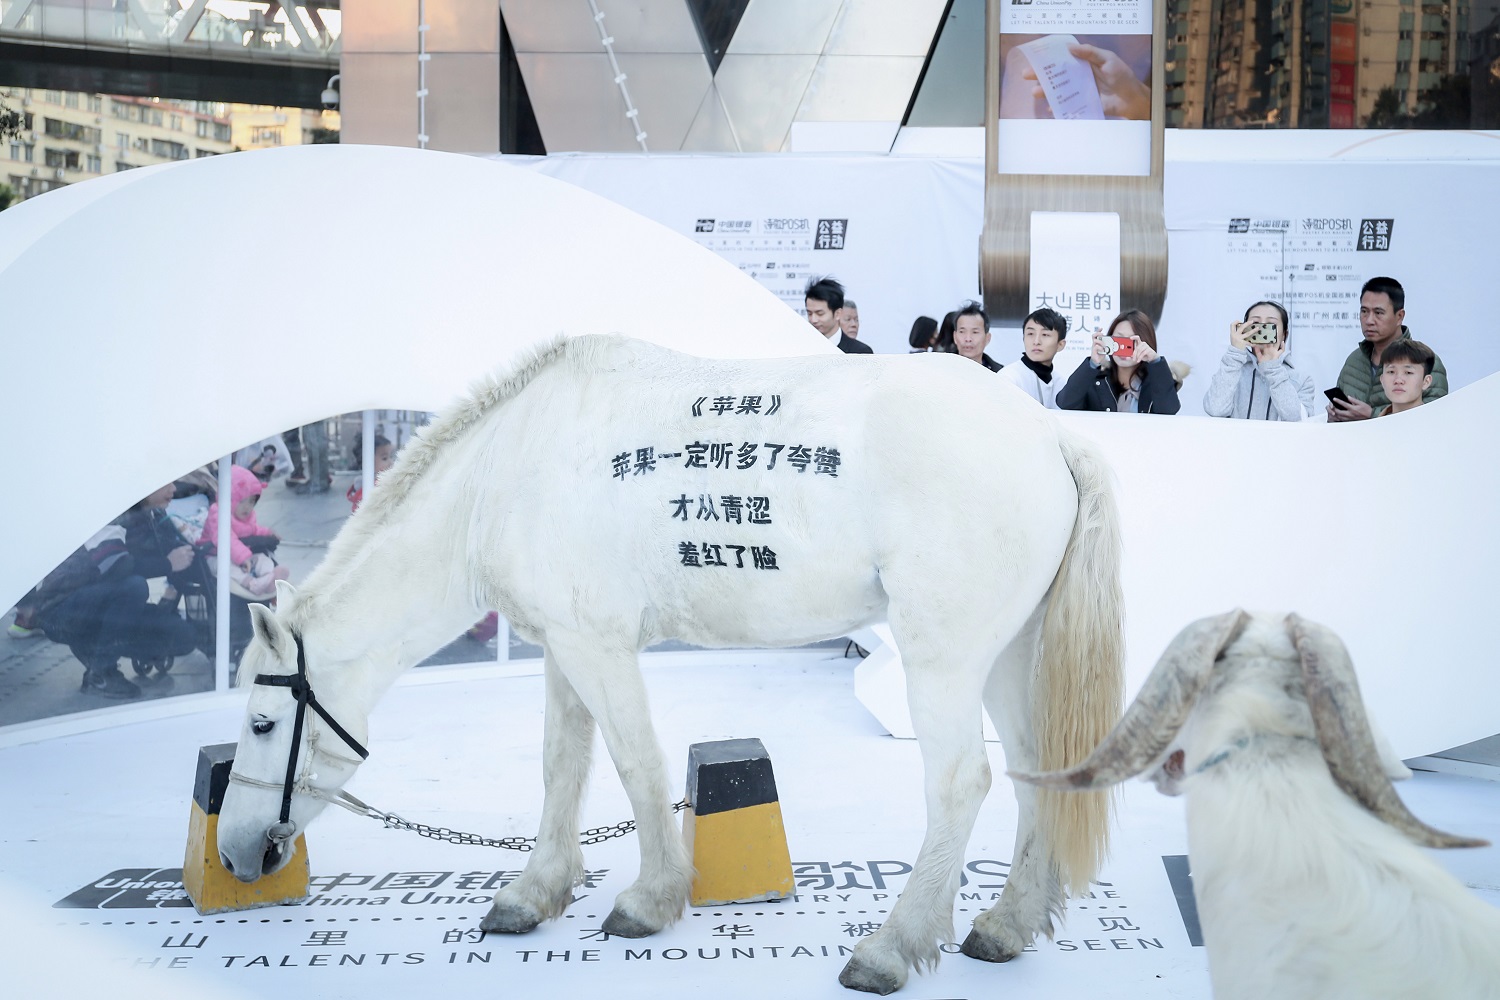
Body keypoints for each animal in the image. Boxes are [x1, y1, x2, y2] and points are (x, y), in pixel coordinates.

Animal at [217, 334, 1122, 995]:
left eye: (262, 722)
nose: (233, 855)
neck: (505, 473)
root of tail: (1048, 433)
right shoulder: (564, 647)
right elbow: (562, 766)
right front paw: (534, 892)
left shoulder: (598, 646)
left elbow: (636, 765)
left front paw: (651, 900)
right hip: (1008, 654)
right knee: (1036, 772)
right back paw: (1005, 924)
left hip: (945, 657)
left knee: (961, 782)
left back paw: (892, 946)